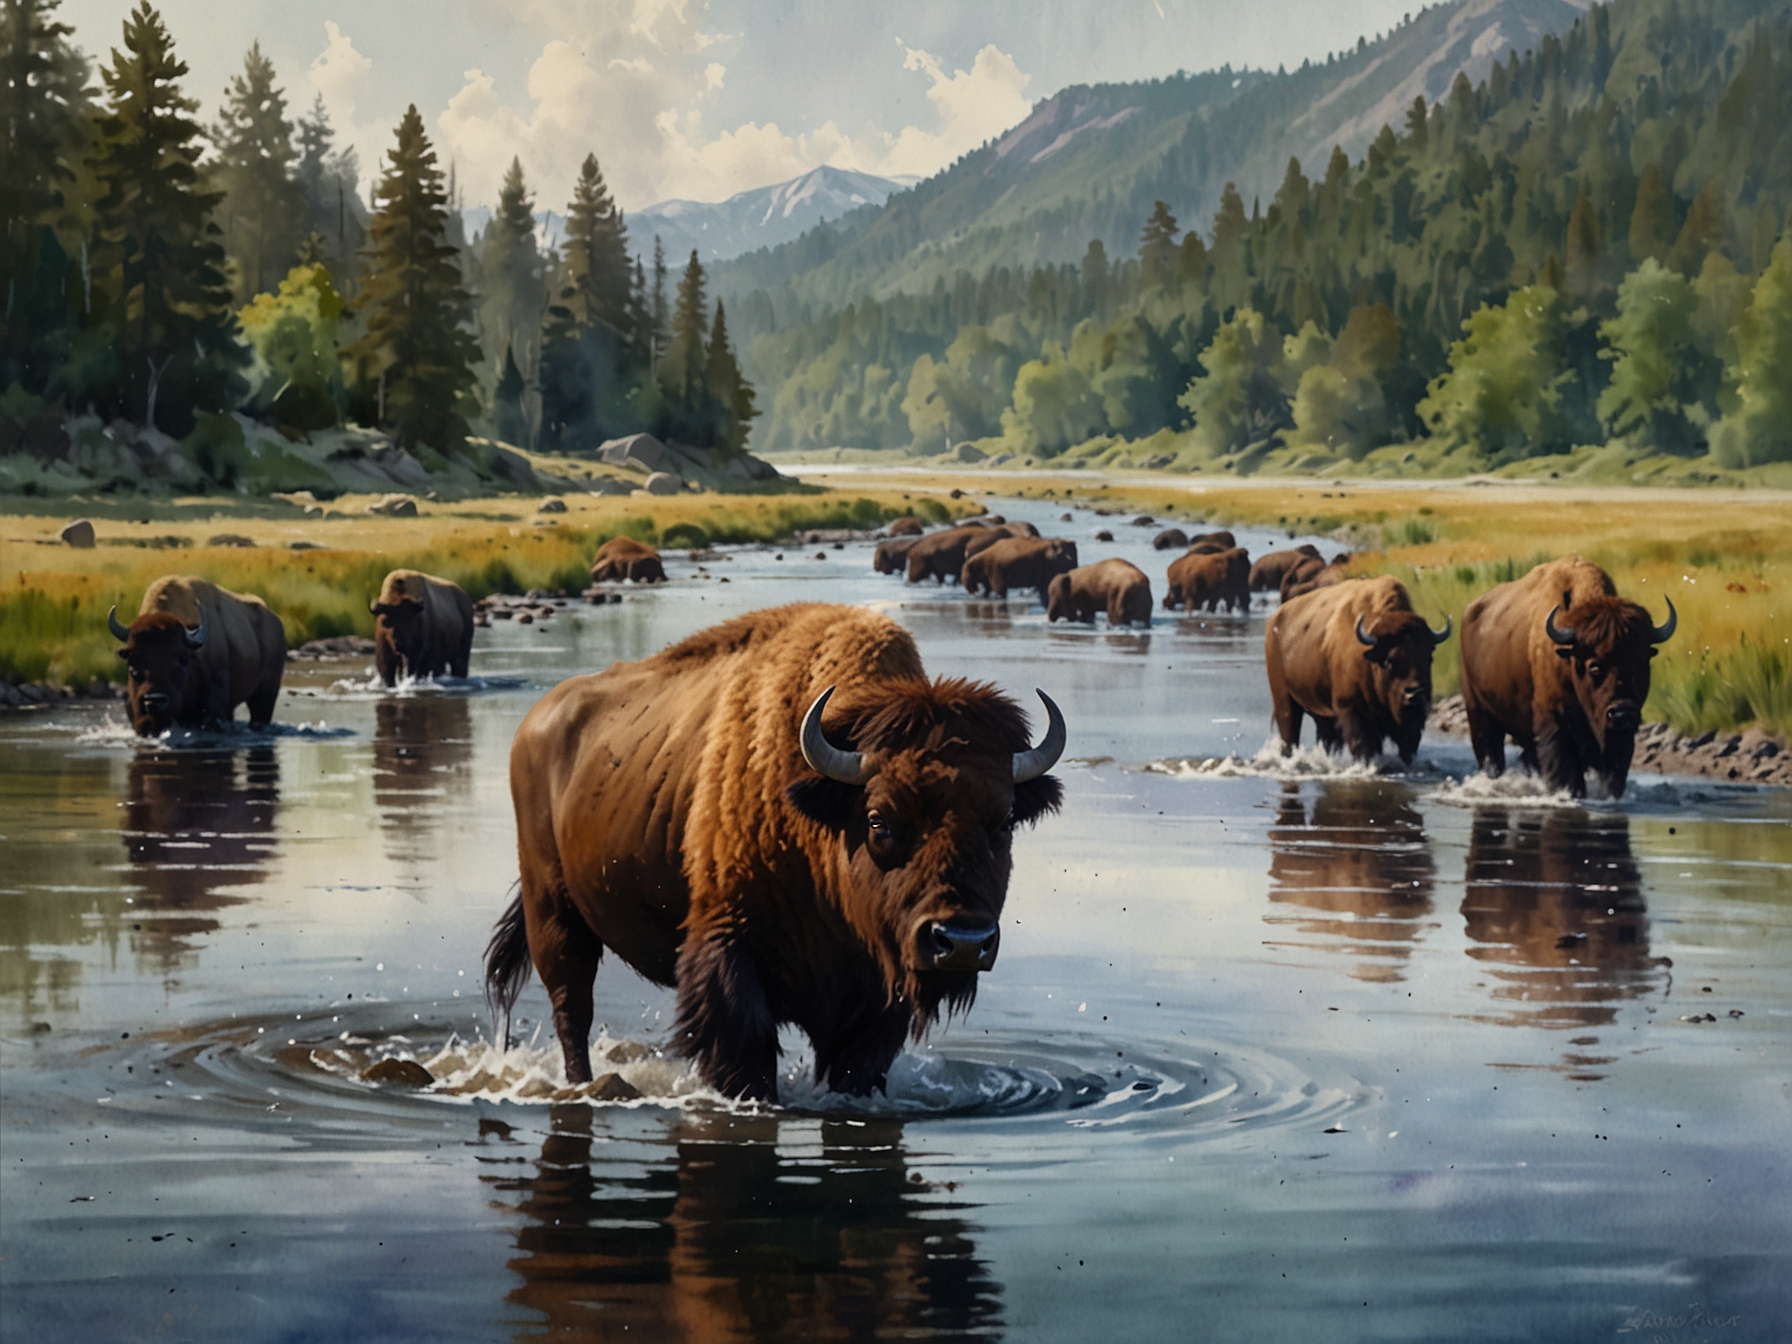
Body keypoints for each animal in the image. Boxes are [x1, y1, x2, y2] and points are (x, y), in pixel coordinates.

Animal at [484, 603, 1066, 1102]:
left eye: (1003, 821)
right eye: (879, 819)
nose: (962, 942)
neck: (822, 818)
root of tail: (535, 723)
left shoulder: (876, 995)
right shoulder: (730, 952)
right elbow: (745, 1057)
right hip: (554, 913)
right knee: (572, 1010)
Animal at [1264, 575, 1451, 763]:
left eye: (1429, 657)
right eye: (1389, 661)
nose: (1415, 694)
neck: (1370, 657)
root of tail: (1274, 621)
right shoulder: (1350, 708)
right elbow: (1362, 745)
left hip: (1323, 712)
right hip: (1284, 700)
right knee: (1289, 731)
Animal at [1459, 556, 1675, 797]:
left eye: (1641, 663)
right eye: (1594, 666)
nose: (1623, 713)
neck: (1571, 655)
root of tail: (1469, 613)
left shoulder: (1619, 737)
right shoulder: (1555, 720)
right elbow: (1566, 768)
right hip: (1479, 712)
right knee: (1491, 754)